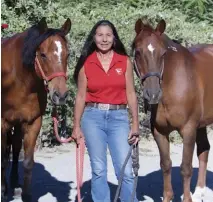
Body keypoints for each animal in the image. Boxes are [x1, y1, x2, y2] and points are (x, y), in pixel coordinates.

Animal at [1, 18, 71, 201]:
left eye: (67, 55)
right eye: (43, 55)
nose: (60, 95)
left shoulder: (33, 122)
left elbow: (27, 162)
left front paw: (26, 195)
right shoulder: (1, 124)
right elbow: (2, 159)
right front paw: (2, 192)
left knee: (15, 147)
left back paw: (14, 183)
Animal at [132, 19, 212, 202]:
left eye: (163, 54)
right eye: (138, 52)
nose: (153, 93)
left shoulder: (188, 130)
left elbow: (186, 168)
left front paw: (187, 199)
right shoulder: (159, 131)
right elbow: (166, 164)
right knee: (204, 149)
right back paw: (199, 192)